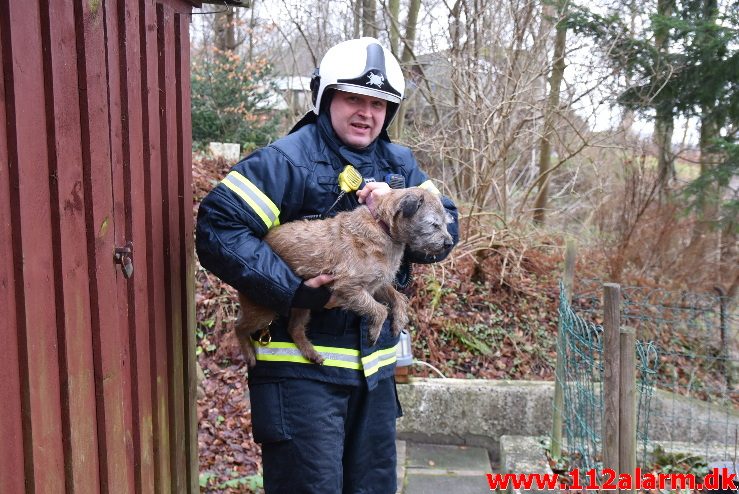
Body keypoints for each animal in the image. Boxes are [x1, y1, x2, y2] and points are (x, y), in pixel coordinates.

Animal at [237, 188, 456, 366]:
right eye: (433, 224)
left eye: (446, 223)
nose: (449, 243)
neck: (382, 226)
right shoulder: (349, 287)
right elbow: (379, 310)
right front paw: (374, 332)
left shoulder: (376, 285)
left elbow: (398, 298)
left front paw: (399, 321)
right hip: (264, 309)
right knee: (238, 327)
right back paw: (247, 352)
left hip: (302, 302)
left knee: (294, 329)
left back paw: (311, 353)